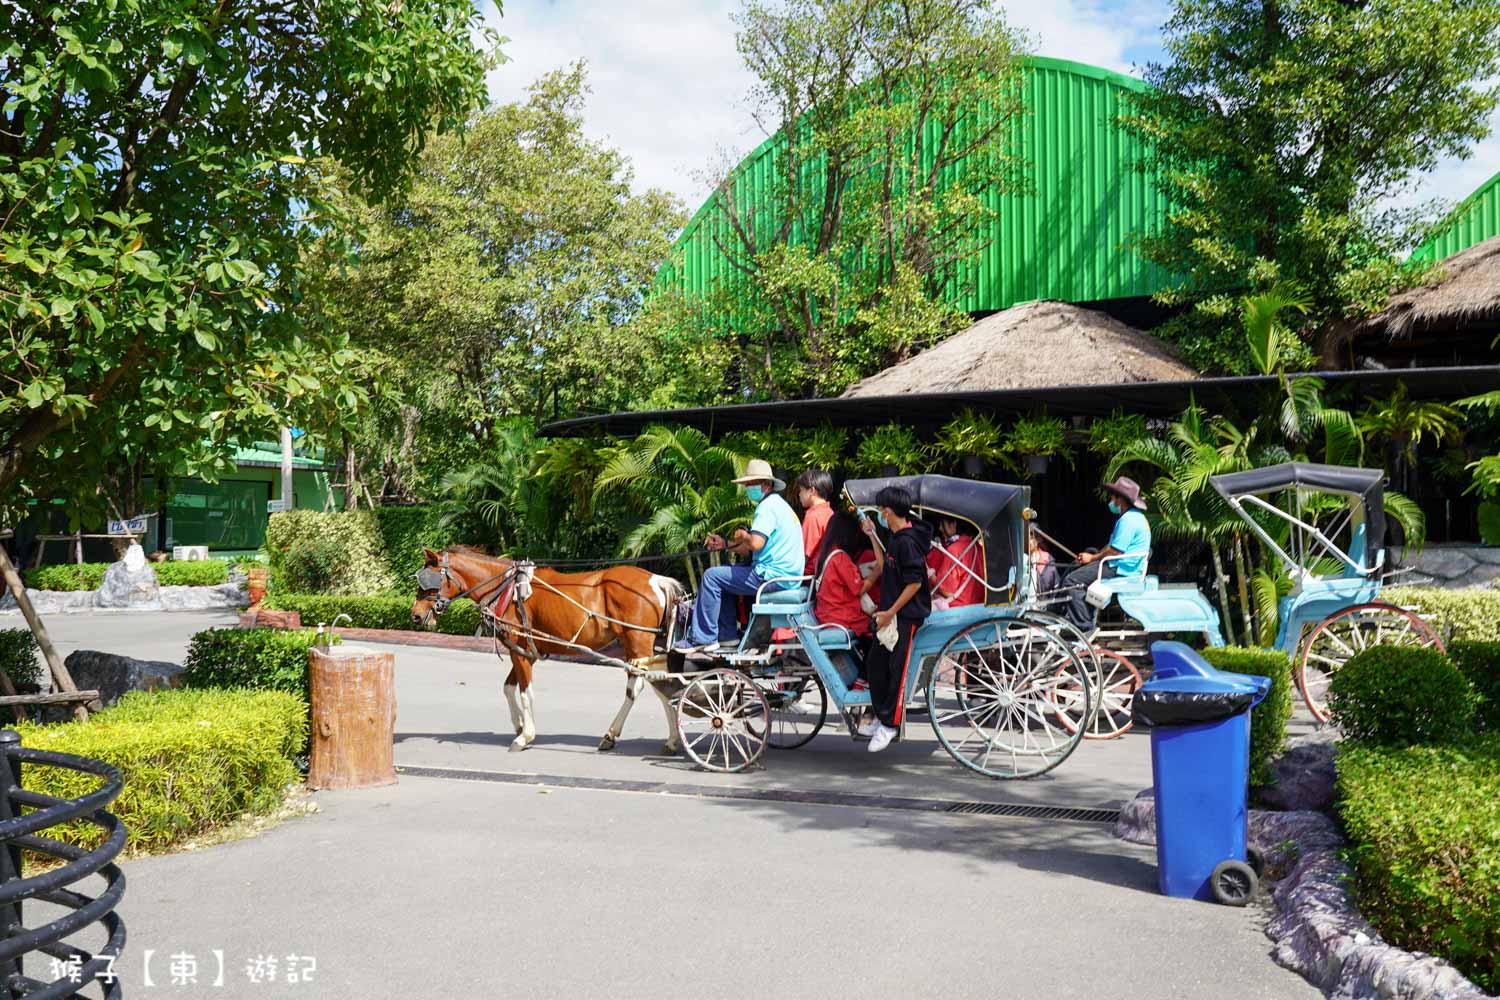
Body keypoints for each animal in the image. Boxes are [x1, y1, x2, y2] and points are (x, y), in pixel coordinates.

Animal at [414, 548, 687, 749]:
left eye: (429, 580)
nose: (415, 615)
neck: (506, 589)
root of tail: (655, 580)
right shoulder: (527, 652)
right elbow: (508, 687)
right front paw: (518, 724)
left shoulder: (519, 650)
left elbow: (526, 692)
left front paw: (525, 736)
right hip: (638, 647)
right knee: (656, 682)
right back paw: (670, 739)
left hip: (637, 641)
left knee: (641, 685)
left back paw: (615, 734)